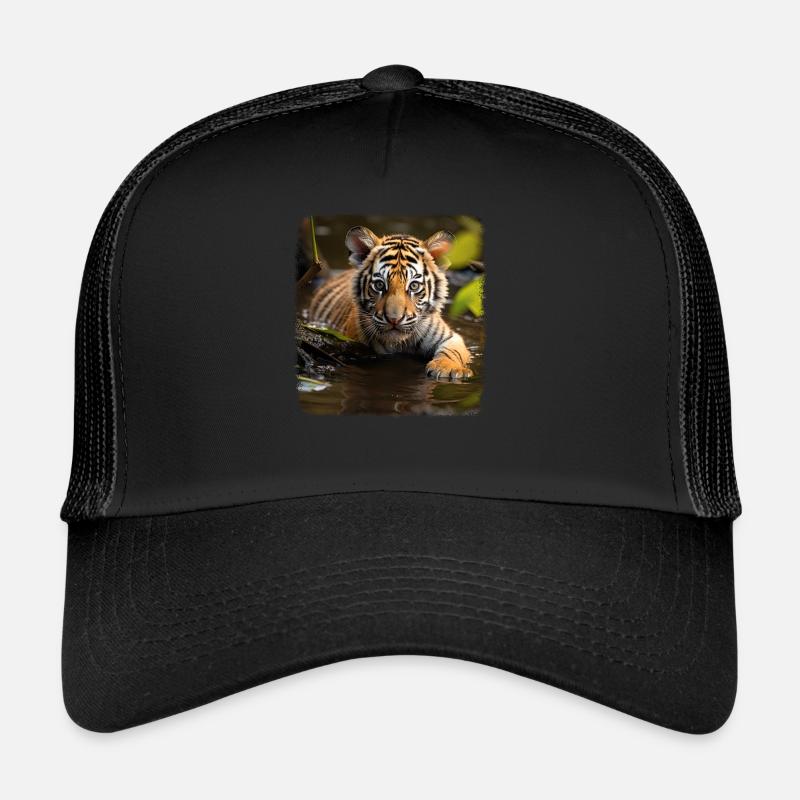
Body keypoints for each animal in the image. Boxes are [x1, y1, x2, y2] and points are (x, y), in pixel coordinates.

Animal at [308, 226, 473, 381]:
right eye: (379, 285)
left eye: (414, 286)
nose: (394, 319)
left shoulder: (450, 337)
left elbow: (452, 351)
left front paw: (446, 368)